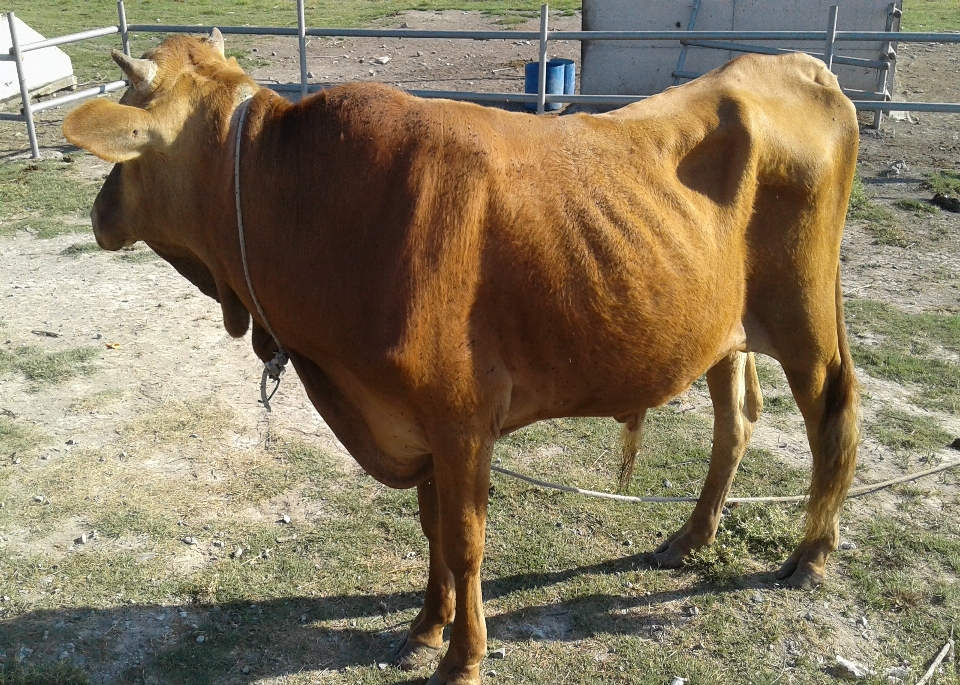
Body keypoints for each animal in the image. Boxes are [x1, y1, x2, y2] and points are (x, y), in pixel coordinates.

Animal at [63, 30, 860, 684]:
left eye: (128, 129)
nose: (96, 212)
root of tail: (794, 64)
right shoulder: (413, 420)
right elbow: (433, 530)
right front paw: (425, 626)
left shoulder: (462, 420)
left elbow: (466, 539)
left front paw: (462, 657)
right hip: (724, 328)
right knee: (737, 421)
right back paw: (690, 537)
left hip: (806, 315)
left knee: (832, 414)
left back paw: (812, 556)